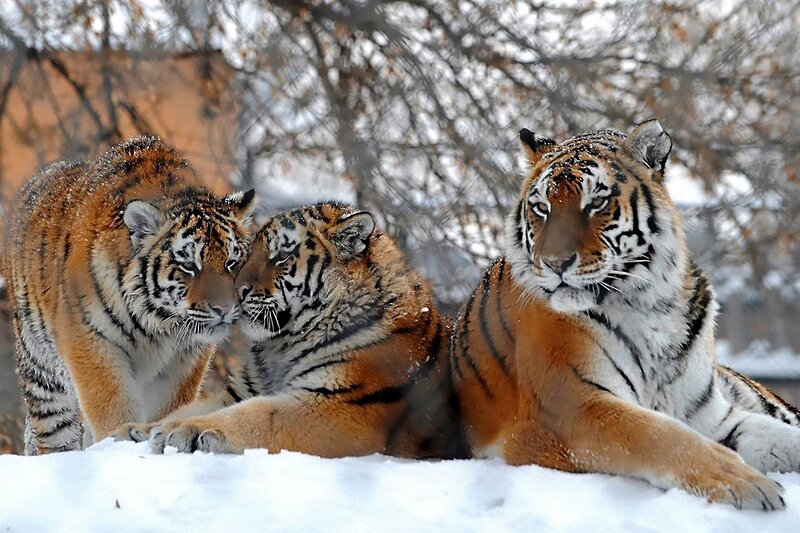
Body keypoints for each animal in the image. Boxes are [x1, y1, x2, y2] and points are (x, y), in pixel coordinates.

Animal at [2, 135, 255, 454]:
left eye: (232, 263)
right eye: (189, 265)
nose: (224, 308)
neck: (158, 323)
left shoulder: (186, 357)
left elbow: (169, 407)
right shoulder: (91, 341)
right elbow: (112, 405)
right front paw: (119, 442)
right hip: (44, 375)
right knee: (54, 435)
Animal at [135, 202, 467, 460]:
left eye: (281, 257)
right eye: (248, 254)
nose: (237, 292)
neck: (281, 346)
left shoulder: (339, 405)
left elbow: (258, 415)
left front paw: (184, 430)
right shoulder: (240, 390)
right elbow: (190, 408)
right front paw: (139, 429)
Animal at [451, 120, 800, 511]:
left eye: (596, 202)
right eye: (541, 208)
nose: (555, 264)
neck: (650, 302)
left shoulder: (711, 417)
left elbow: (781, 437)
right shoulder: (575, 405)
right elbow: (663, 436)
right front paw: (748, 484)